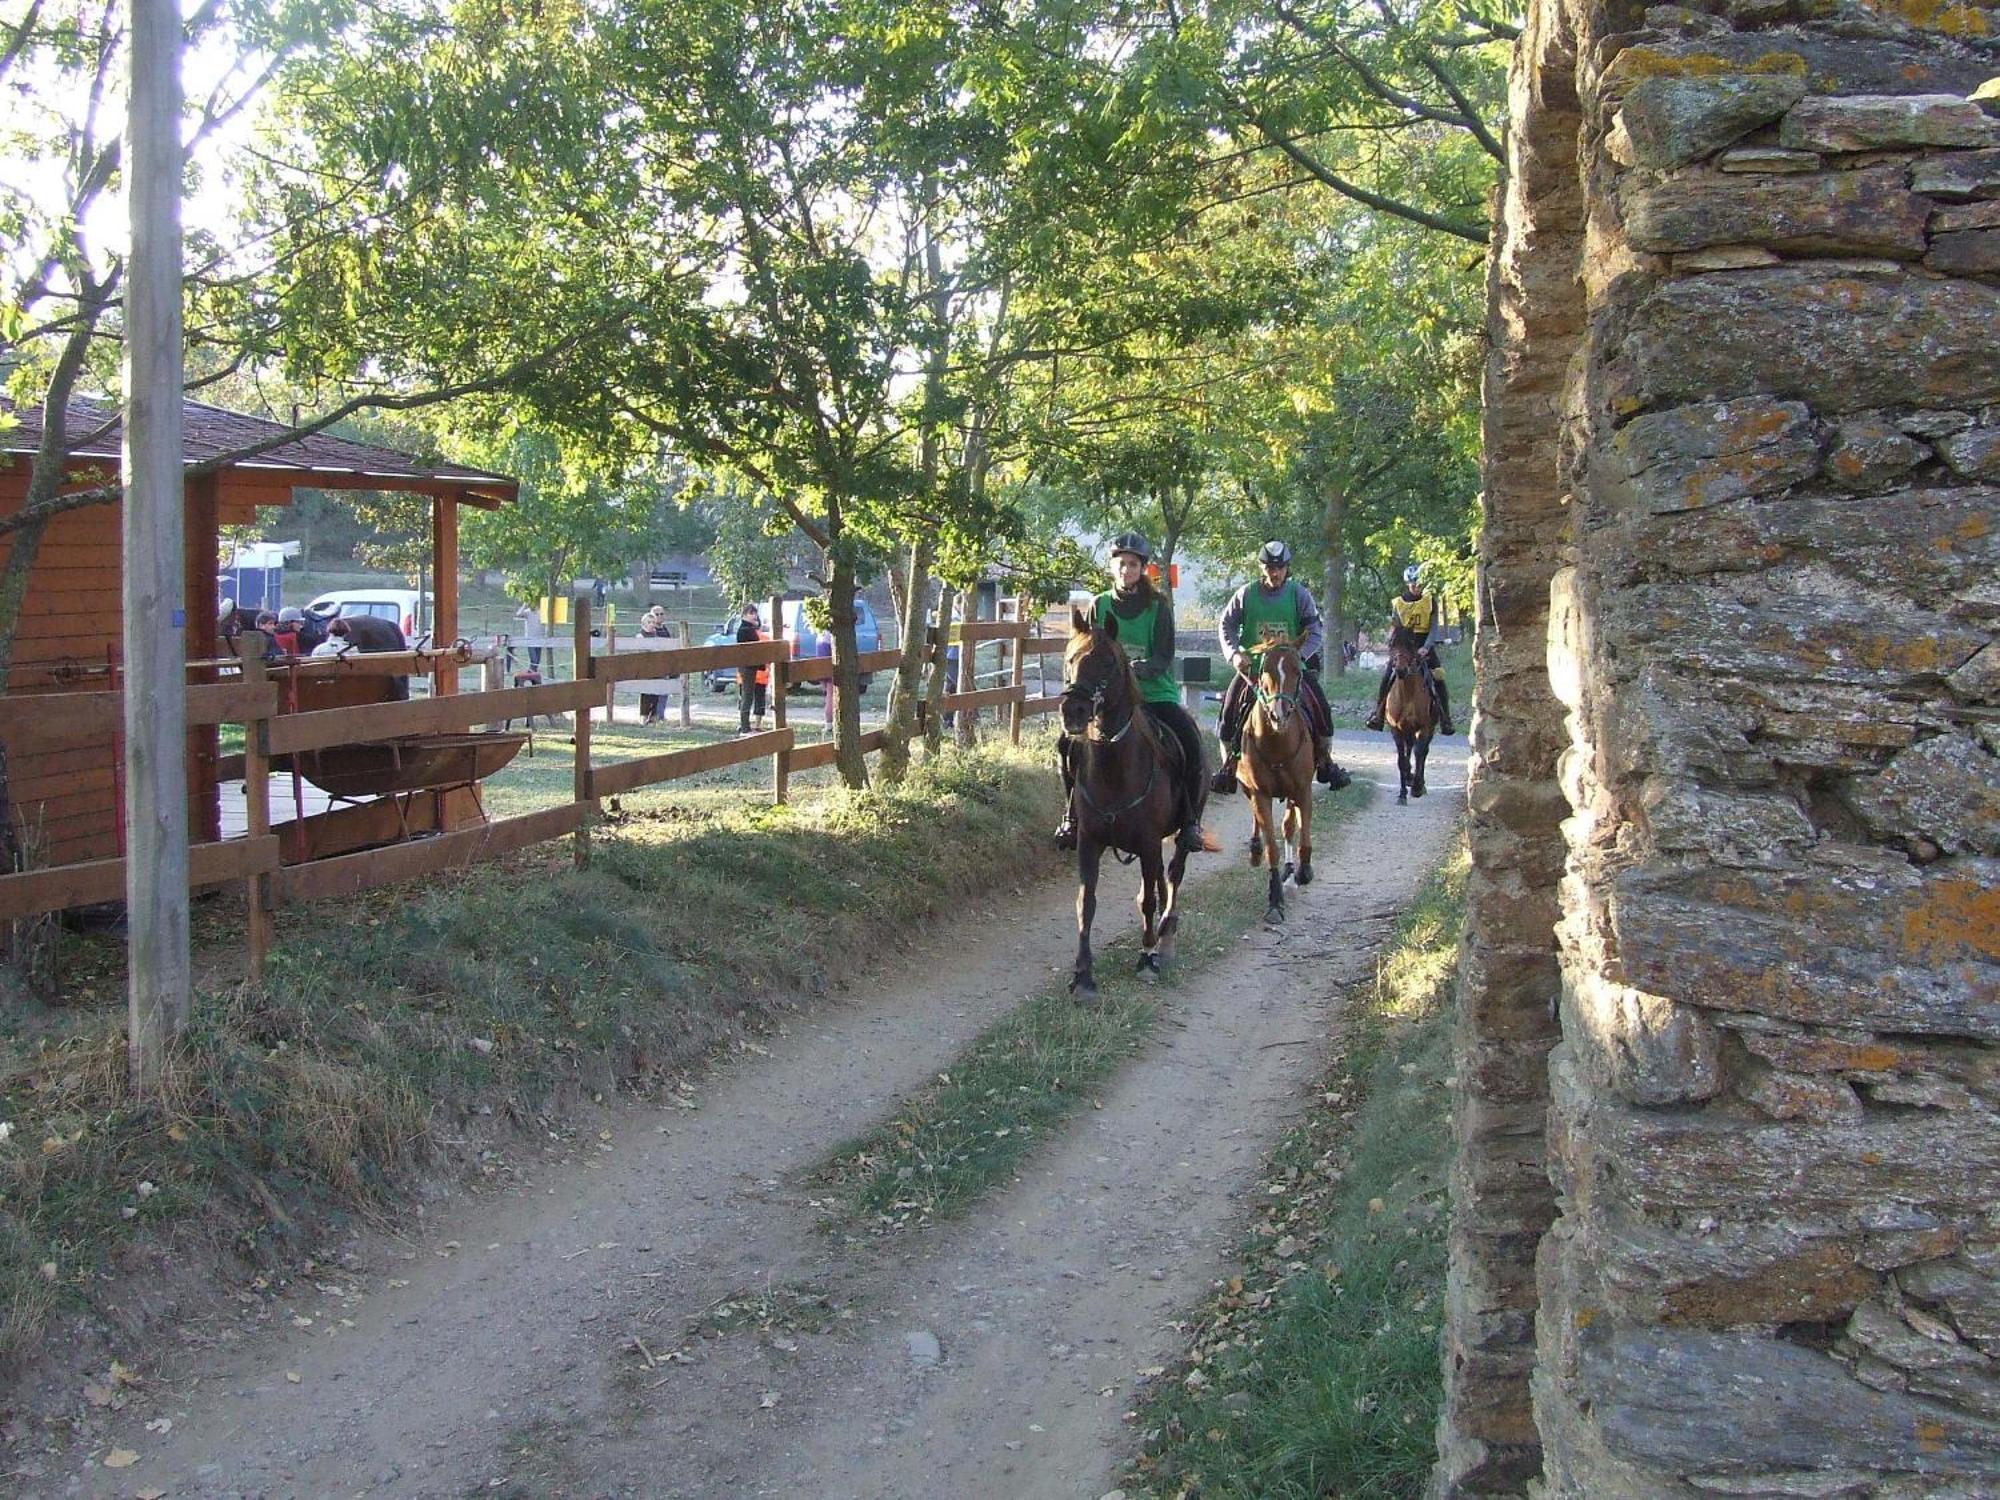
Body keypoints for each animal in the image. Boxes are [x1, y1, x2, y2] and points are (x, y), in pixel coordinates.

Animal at [1056, 604, 1192, 1004]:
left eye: (1107, 663)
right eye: (1070, 659)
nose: (1073, 710)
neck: (1114, 767)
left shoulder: (1147, 842)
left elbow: (1148, 900)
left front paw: (1147, 958)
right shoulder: (1089, 841)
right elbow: (1086, 904)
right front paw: (1083, 977)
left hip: (1178, 835)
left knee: (1174, 874)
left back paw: (1166, 935)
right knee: (1160, 881)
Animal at [1232, 624, 1312, 924]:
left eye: (1298, 670)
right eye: (1264, 670)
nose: (1279, 714)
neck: (1278, 742)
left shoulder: (1303, 790)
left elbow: (1302, 837)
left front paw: (1302, 871)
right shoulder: (1260, 794)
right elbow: (1271, 848)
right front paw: (1275, 901)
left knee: (1289, 825)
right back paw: (1256, 851)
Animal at [1384, 636, 1432, 812]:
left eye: (1411, 646)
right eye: (1392, 645)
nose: (1401, 670)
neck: (1408, 694)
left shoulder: (1425, 727)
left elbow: (1419, 753)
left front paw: (1417, 788)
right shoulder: (1396, 730)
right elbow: (1401, 760)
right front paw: (1402, 794)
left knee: (1422, 752)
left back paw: (1420, 785)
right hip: (1408, 730)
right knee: (1410, 748)